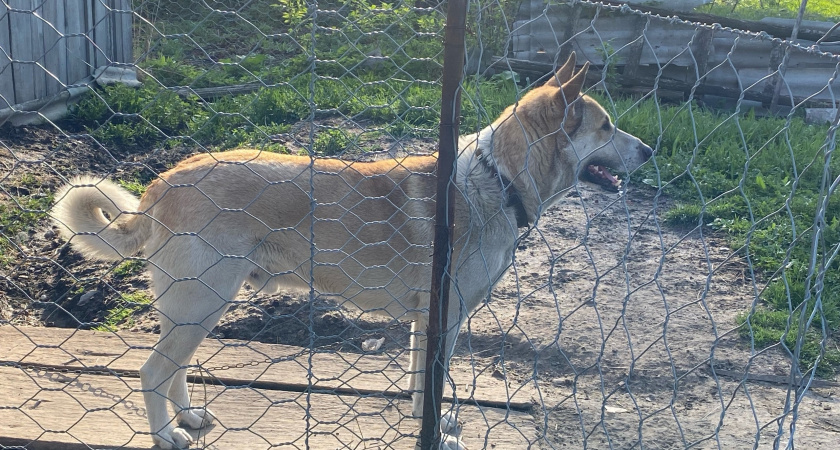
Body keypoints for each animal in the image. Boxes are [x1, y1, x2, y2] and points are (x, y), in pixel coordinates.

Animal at [50, 54, 656, 448]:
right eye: (607, 127)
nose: (650, 151)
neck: (499, 179)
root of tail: (166, 179)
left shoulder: (425, 323)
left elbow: (419, 384)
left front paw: (427, 421)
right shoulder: (444, 319)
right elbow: (432, 387)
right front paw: (438, 434)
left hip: (198, 308)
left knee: (173, 368)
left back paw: (190, 419)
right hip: (202, 303)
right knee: (153, 371)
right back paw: (166, 434)